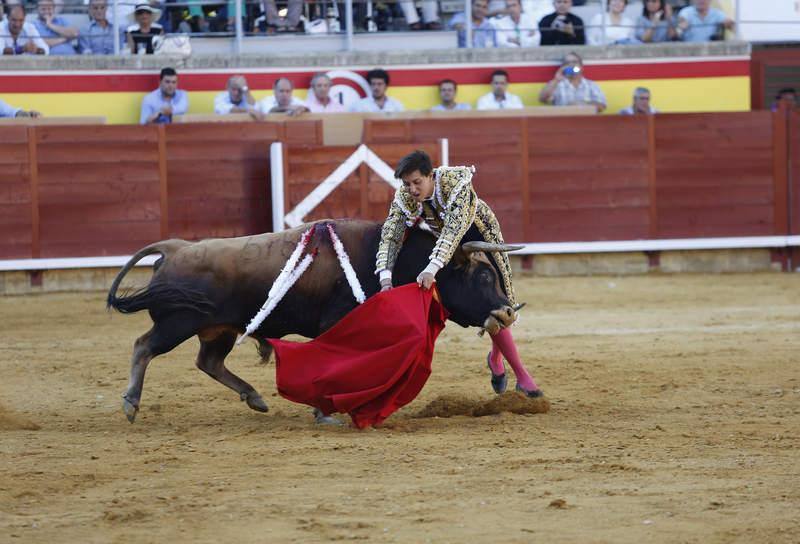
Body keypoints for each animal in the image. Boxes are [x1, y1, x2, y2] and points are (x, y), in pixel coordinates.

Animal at [108, 219, 520, 422]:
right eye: (484, 277)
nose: (507, 312)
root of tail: (175, 248)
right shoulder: (336, 324)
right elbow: (333, 363)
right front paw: (326, 411)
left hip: (217, 330)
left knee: (208, 361)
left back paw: (255, 398)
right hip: (177, 324)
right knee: (144, 346)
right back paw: (130, 404)